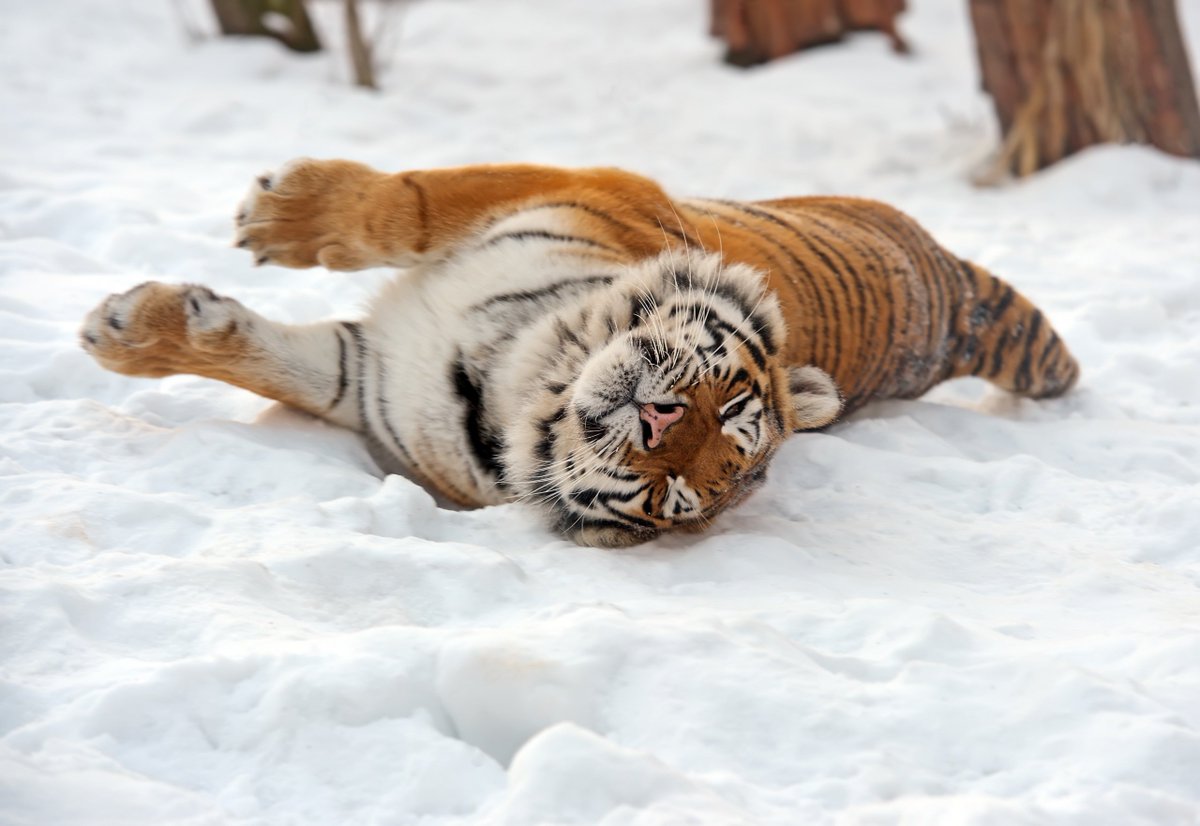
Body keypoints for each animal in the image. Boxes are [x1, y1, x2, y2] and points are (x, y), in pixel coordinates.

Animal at [80, 160, 1079, 547]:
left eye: (675, 493)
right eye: (731, 405)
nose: (656, 422)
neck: (515, 374)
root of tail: (950, 287)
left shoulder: (363, 382)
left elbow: (277, 360)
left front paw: (124, 327)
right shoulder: (571, 185)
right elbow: (403, 206)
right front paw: (278, 214)